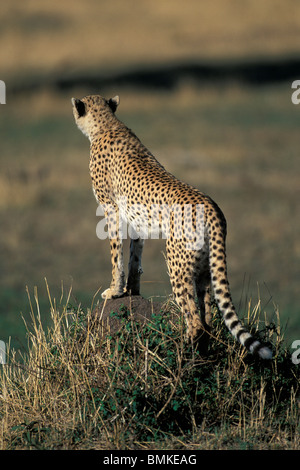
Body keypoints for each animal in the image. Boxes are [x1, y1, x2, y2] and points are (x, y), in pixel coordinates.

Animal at [72, 95, 272, 360]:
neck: (107, 124)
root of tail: (212, 206)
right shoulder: (136, 221)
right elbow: (135, 257)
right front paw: (132, 291)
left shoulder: (110, 209)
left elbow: (117, 256)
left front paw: (115, 291)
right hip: (203, 263)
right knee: (207, 315)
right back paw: (201, 353)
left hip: (177, 263)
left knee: (194, 319)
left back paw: (182, 351)